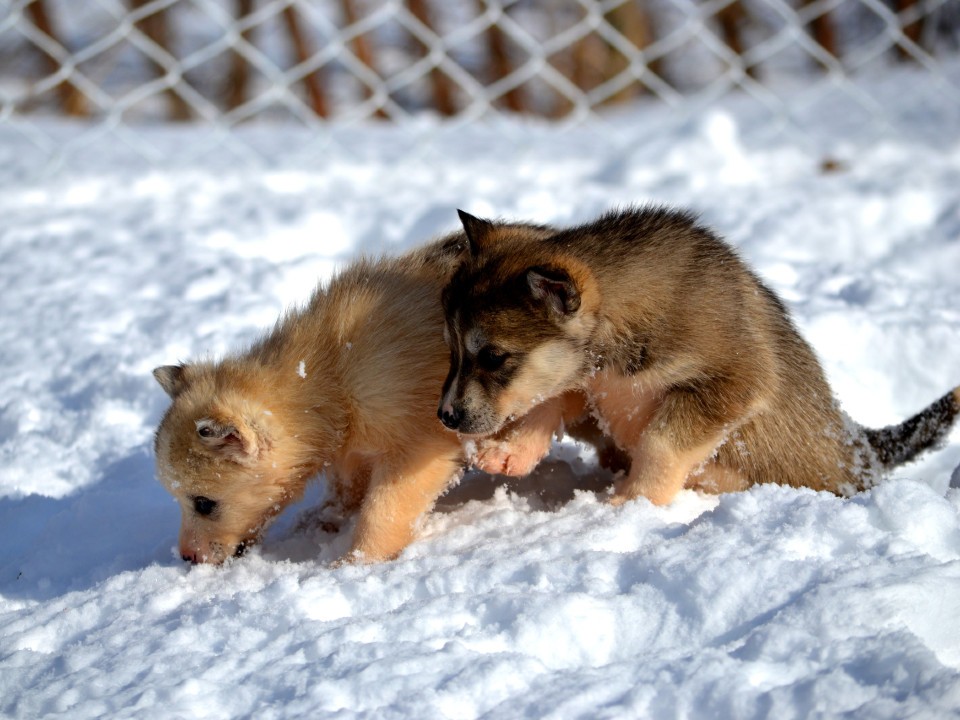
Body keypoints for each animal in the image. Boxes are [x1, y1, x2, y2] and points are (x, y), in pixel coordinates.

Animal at [440, 205, 960, 504]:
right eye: (452, 348)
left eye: (493, 357)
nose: (445, 417)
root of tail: (862, 445)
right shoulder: (586, 381)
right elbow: (545, 402)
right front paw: (507, 452)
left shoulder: (733, 382)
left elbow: (660, 442)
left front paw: (631, 502)